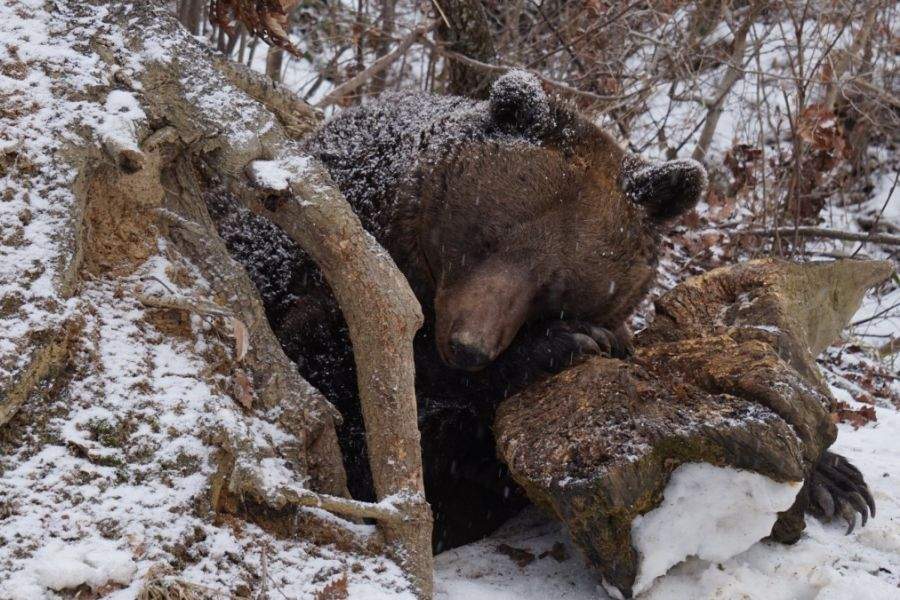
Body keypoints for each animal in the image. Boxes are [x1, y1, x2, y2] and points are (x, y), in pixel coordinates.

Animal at [213, 70, 872, 552]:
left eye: (552, 285)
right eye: (483, 238)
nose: (469, 345)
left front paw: (834, 477)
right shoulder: (311, 273)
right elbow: (347, 398)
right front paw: (564, 347)